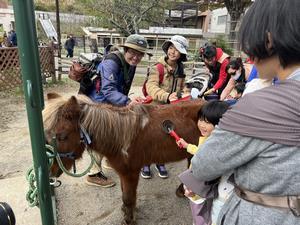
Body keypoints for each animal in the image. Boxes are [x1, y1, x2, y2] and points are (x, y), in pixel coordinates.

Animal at [43, 92, 203, 224]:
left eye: (62, 136)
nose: (51, 172)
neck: (120, 136)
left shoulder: (130, 173)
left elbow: (128, 197)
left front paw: (129, 219)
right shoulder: (123, 173)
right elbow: (125, 195)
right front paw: (127, 212)